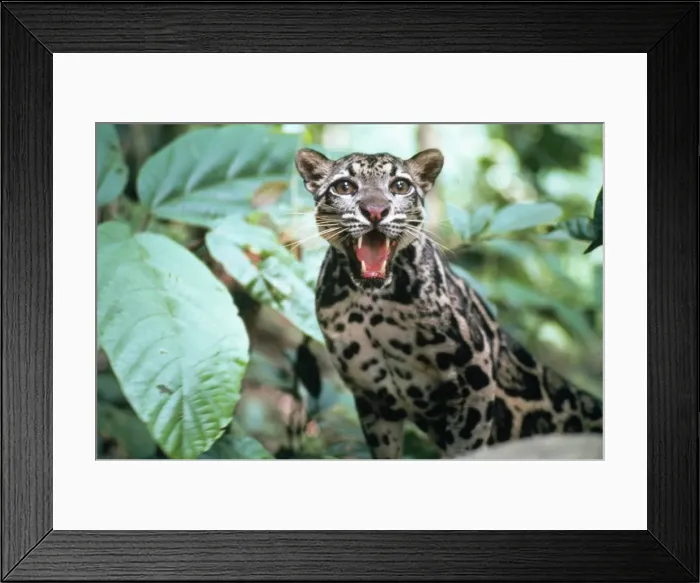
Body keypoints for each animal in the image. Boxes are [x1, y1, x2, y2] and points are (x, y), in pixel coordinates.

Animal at [294, 147, 603, 459]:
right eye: (344, 186)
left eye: (400, 186)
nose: (375, 211)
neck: (372, 304)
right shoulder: (372, 398)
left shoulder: (475, 376)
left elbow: (466, 446)